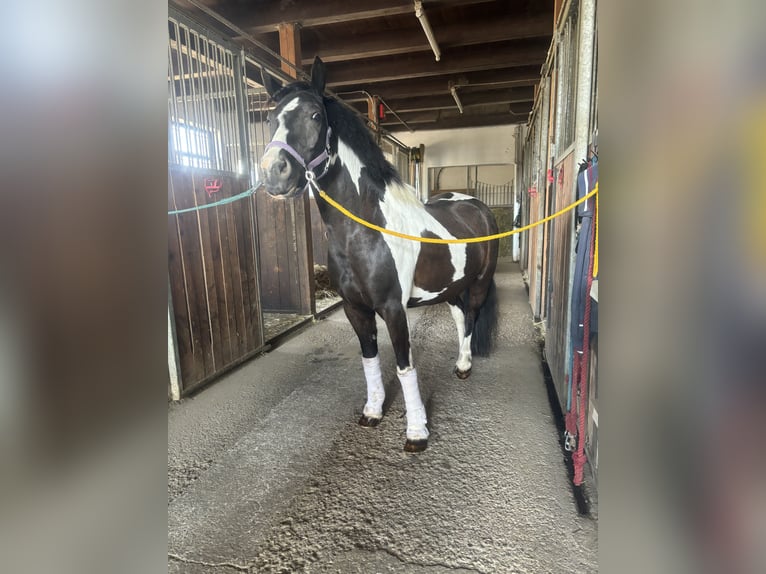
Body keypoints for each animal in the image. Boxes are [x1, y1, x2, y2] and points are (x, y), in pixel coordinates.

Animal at [260, 59, 500, 454]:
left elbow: (404, 366)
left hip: (479, 282)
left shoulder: (392, 308)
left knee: (473, 315)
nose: (272, 173)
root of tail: (475, 205)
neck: (365, 230)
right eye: (270, 118)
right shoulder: (355, 308)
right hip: (449, 286)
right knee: (460, 316)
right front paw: (372, 412)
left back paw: (464, 367)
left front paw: (416, 432)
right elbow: (370, 360)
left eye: (314, 115)